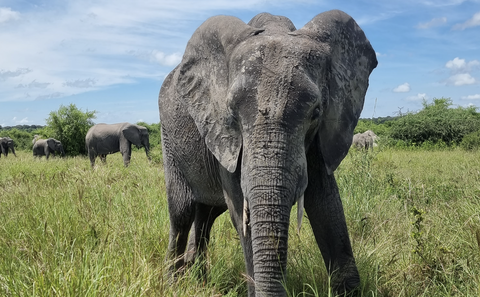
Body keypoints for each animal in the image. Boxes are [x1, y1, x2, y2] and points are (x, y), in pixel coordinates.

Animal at [159, 9, 376, 296]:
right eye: (231, 113)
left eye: (316, 112)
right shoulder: (225, 136)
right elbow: (241, 210)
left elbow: (327, 203)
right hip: (169, 142)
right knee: (181, 212)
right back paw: (174, 284)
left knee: (205, 216)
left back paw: (199, 279)